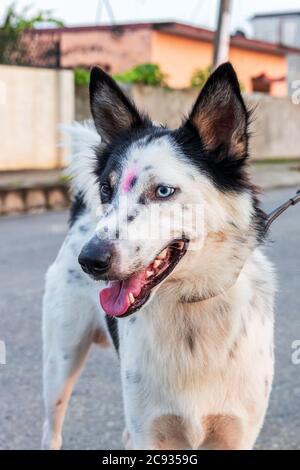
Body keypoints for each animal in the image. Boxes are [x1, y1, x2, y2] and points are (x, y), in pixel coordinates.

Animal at [41, 64, 274, 450]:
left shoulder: (236, 433)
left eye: (163, 191)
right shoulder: (152, 432)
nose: (89, 261)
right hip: (61, 361)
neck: (191, 304)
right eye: (106, 189)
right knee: (52, 429)